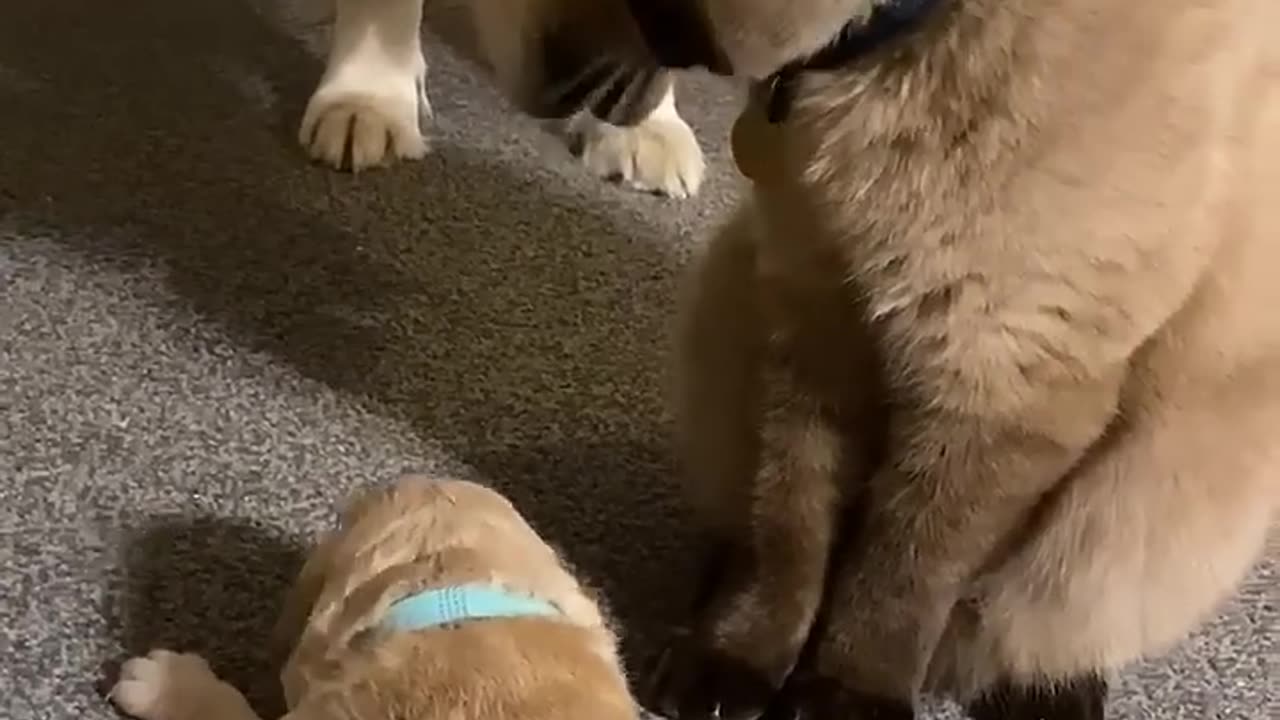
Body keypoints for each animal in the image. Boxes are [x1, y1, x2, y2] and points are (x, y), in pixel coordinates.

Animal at [360, 1, 1280, 717]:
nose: (555, 92)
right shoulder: (816, 319)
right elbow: (794, 527)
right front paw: (742, 665)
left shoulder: (997, 378)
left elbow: (904, 571)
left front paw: (844, 698)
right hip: (730, 302)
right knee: (748, 527)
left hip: (1161, 495)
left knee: (1026, 621)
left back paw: (1045, 696)